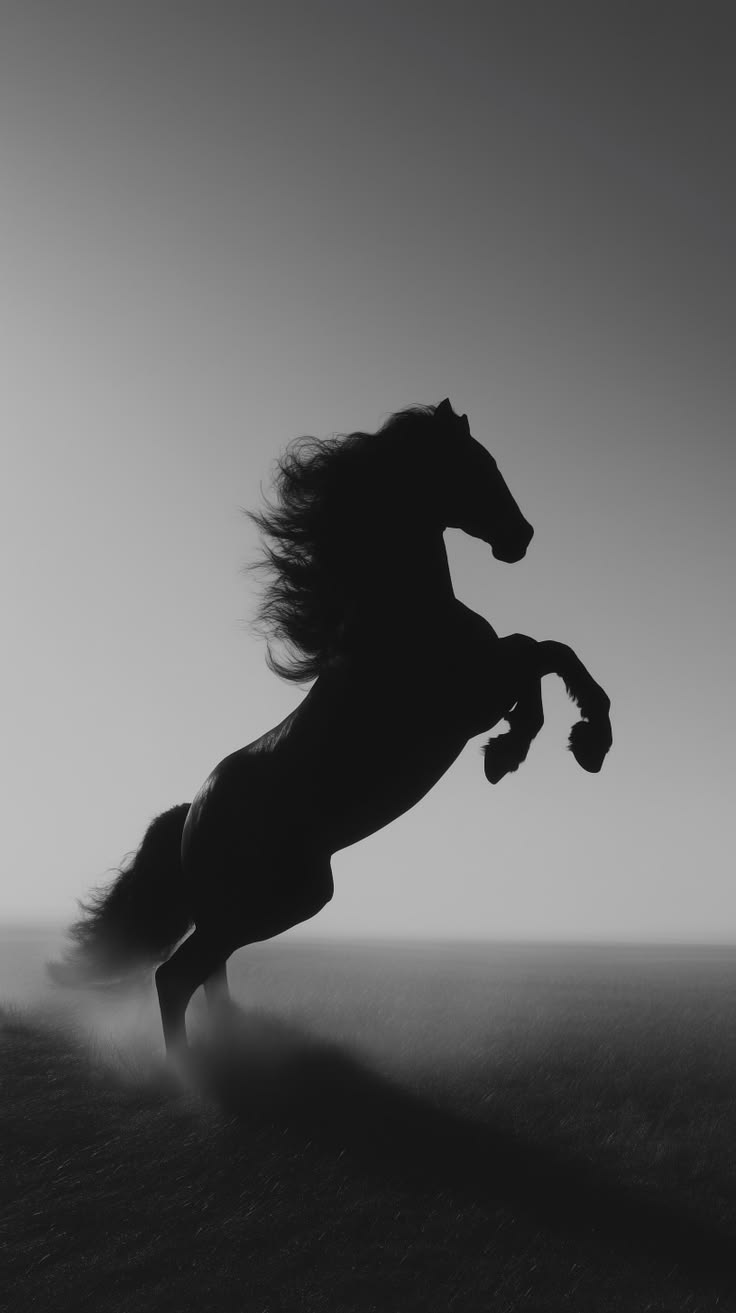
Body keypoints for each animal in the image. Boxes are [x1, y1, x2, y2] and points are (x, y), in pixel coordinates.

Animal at [49, 399, 612, 1055]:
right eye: (477, 464)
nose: (520, 537)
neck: (402, 614)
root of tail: (189, 815)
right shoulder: (472, 695)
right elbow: (543, 653)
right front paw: (570, 744)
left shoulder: (484, 686)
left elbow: (543, 657)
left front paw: (524, 750)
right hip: (277, 901)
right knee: (175, 976)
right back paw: (193, 1069)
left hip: (260, 904)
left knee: (206, 970)